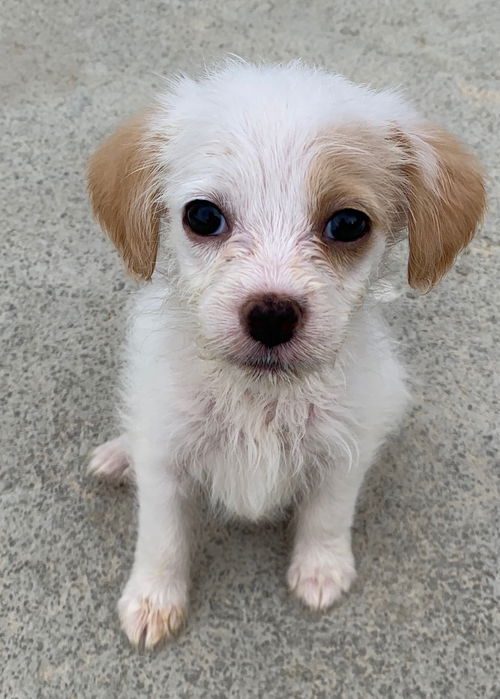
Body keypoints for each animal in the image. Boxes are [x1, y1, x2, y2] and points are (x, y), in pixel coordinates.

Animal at [88, 60, 486, 652]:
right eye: (202, 217)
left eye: (348, 224)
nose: (272, 316)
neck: (261, 398)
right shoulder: (165, 460)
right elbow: (162, 538)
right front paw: (154, 598)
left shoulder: (345, 449)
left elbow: (328, 514)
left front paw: (321, 569)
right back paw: (118, 455)